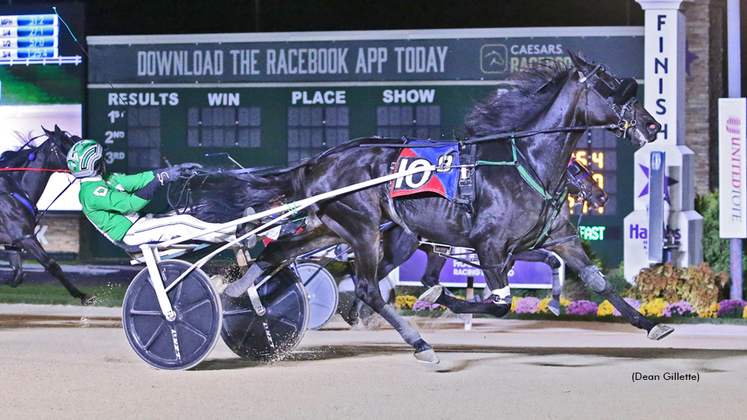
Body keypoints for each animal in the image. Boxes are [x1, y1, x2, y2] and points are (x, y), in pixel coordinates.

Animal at [0, 125, 95, 306]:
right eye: (66, 142)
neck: (15, 188)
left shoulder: (14, 241)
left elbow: (17, 276)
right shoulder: (26, 237)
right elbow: (52, 265)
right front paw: (82, 295)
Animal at [193, 51, 668, 360]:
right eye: (612, 88)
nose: (653, 125)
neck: (528, 162)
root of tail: (317, 162)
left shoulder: (560, 239)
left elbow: (598, 283)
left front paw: (651, 324)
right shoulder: (489, 246)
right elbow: (498, 301)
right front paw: (445, 301)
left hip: (339, 228)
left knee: (279, 252)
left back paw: (236, 295)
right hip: (364, 229)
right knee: (365, 286)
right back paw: (418, 342)